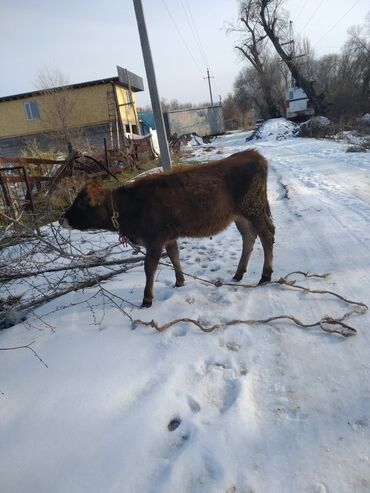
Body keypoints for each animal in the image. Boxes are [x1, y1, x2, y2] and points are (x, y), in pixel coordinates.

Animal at [60, 148, 274, 306]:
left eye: (82, 203)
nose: (62, 219)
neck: (127, 206)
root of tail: (253, 154)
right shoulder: (169, 236)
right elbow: (174, 256)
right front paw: (180, 282)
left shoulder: (154, 239)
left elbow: (150, 267)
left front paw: (147, 299)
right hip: (240, 215)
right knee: (249, 237)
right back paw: (239, 273)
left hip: (253, 208)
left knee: (266, 235)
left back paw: (265, 275)